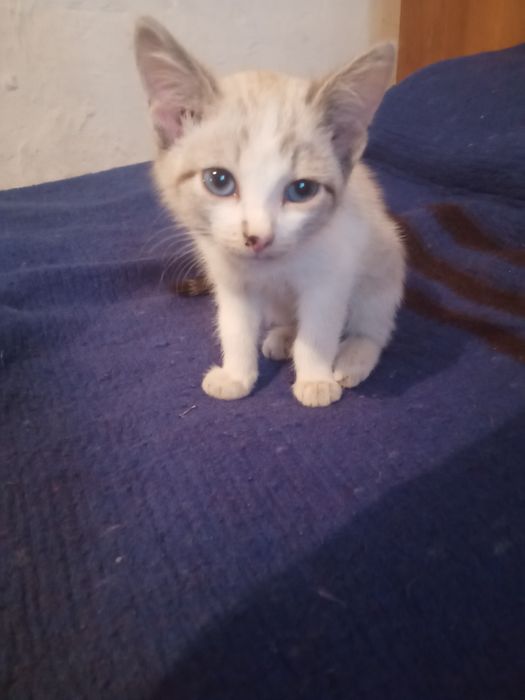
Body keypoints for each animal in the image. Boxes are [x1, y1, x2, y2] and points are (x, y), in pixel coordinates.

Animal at [134, 17, 405, 407]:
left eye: (302, 190)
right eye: (219, 180)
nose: (257, 237)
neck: (273, 268)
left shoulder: (332, 273)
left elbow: (318, 330)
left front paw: (315, 379)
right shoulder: (229, 279)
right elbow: (235, 328)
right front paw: (236, 375)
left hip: (385, 262)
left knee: (375, 326)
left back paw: (354, 355)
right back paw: (282, 337)